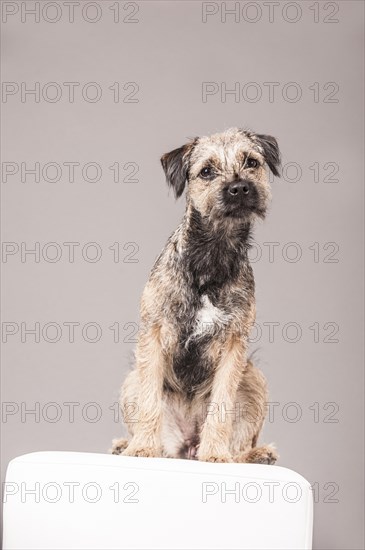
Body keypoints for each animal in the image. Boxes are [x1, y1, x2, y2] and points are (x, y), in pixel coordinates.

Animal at [112, 128, 280, 466]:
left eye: (251, 162)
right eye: (206, 171)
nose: (239, 188)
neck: (212, 255)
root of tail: (186, 447)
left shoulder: (234, 346)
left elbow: (222, 405)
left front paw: (215, 454)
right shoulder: (154, 334)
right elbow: (150, 400)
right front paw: (142, 449)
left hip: (253, 378)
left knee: (239, 446)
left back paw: (253, 454)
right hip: (131, 379)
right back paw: (129, 445)